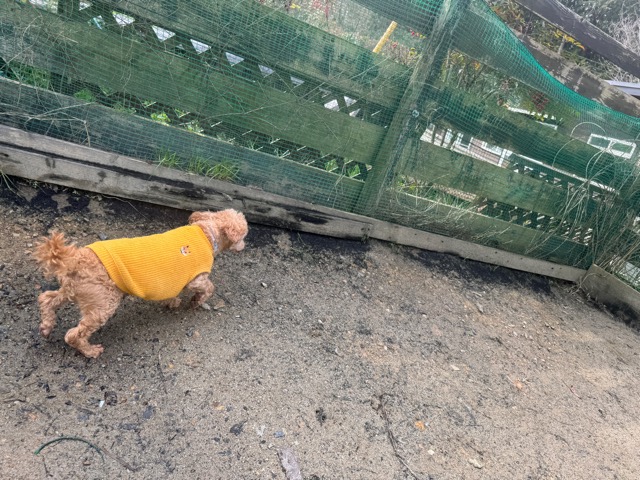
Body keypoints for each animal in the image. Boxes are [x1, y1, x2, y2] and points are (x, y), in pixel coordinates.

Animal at [33, 209, 248, 358]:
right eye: (245, 235)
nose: (244, 246)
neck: (206, 232)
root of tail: (75, 259)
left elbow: (171, 294)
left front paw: (173, 302)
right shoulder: (196, 278)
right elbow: (209, 287)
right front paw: (195, 302)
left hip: (74, 289)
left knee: (46, 299)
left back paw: (46, 327)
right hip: (103, 303)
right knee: (73, 334)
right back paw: (91, 351)